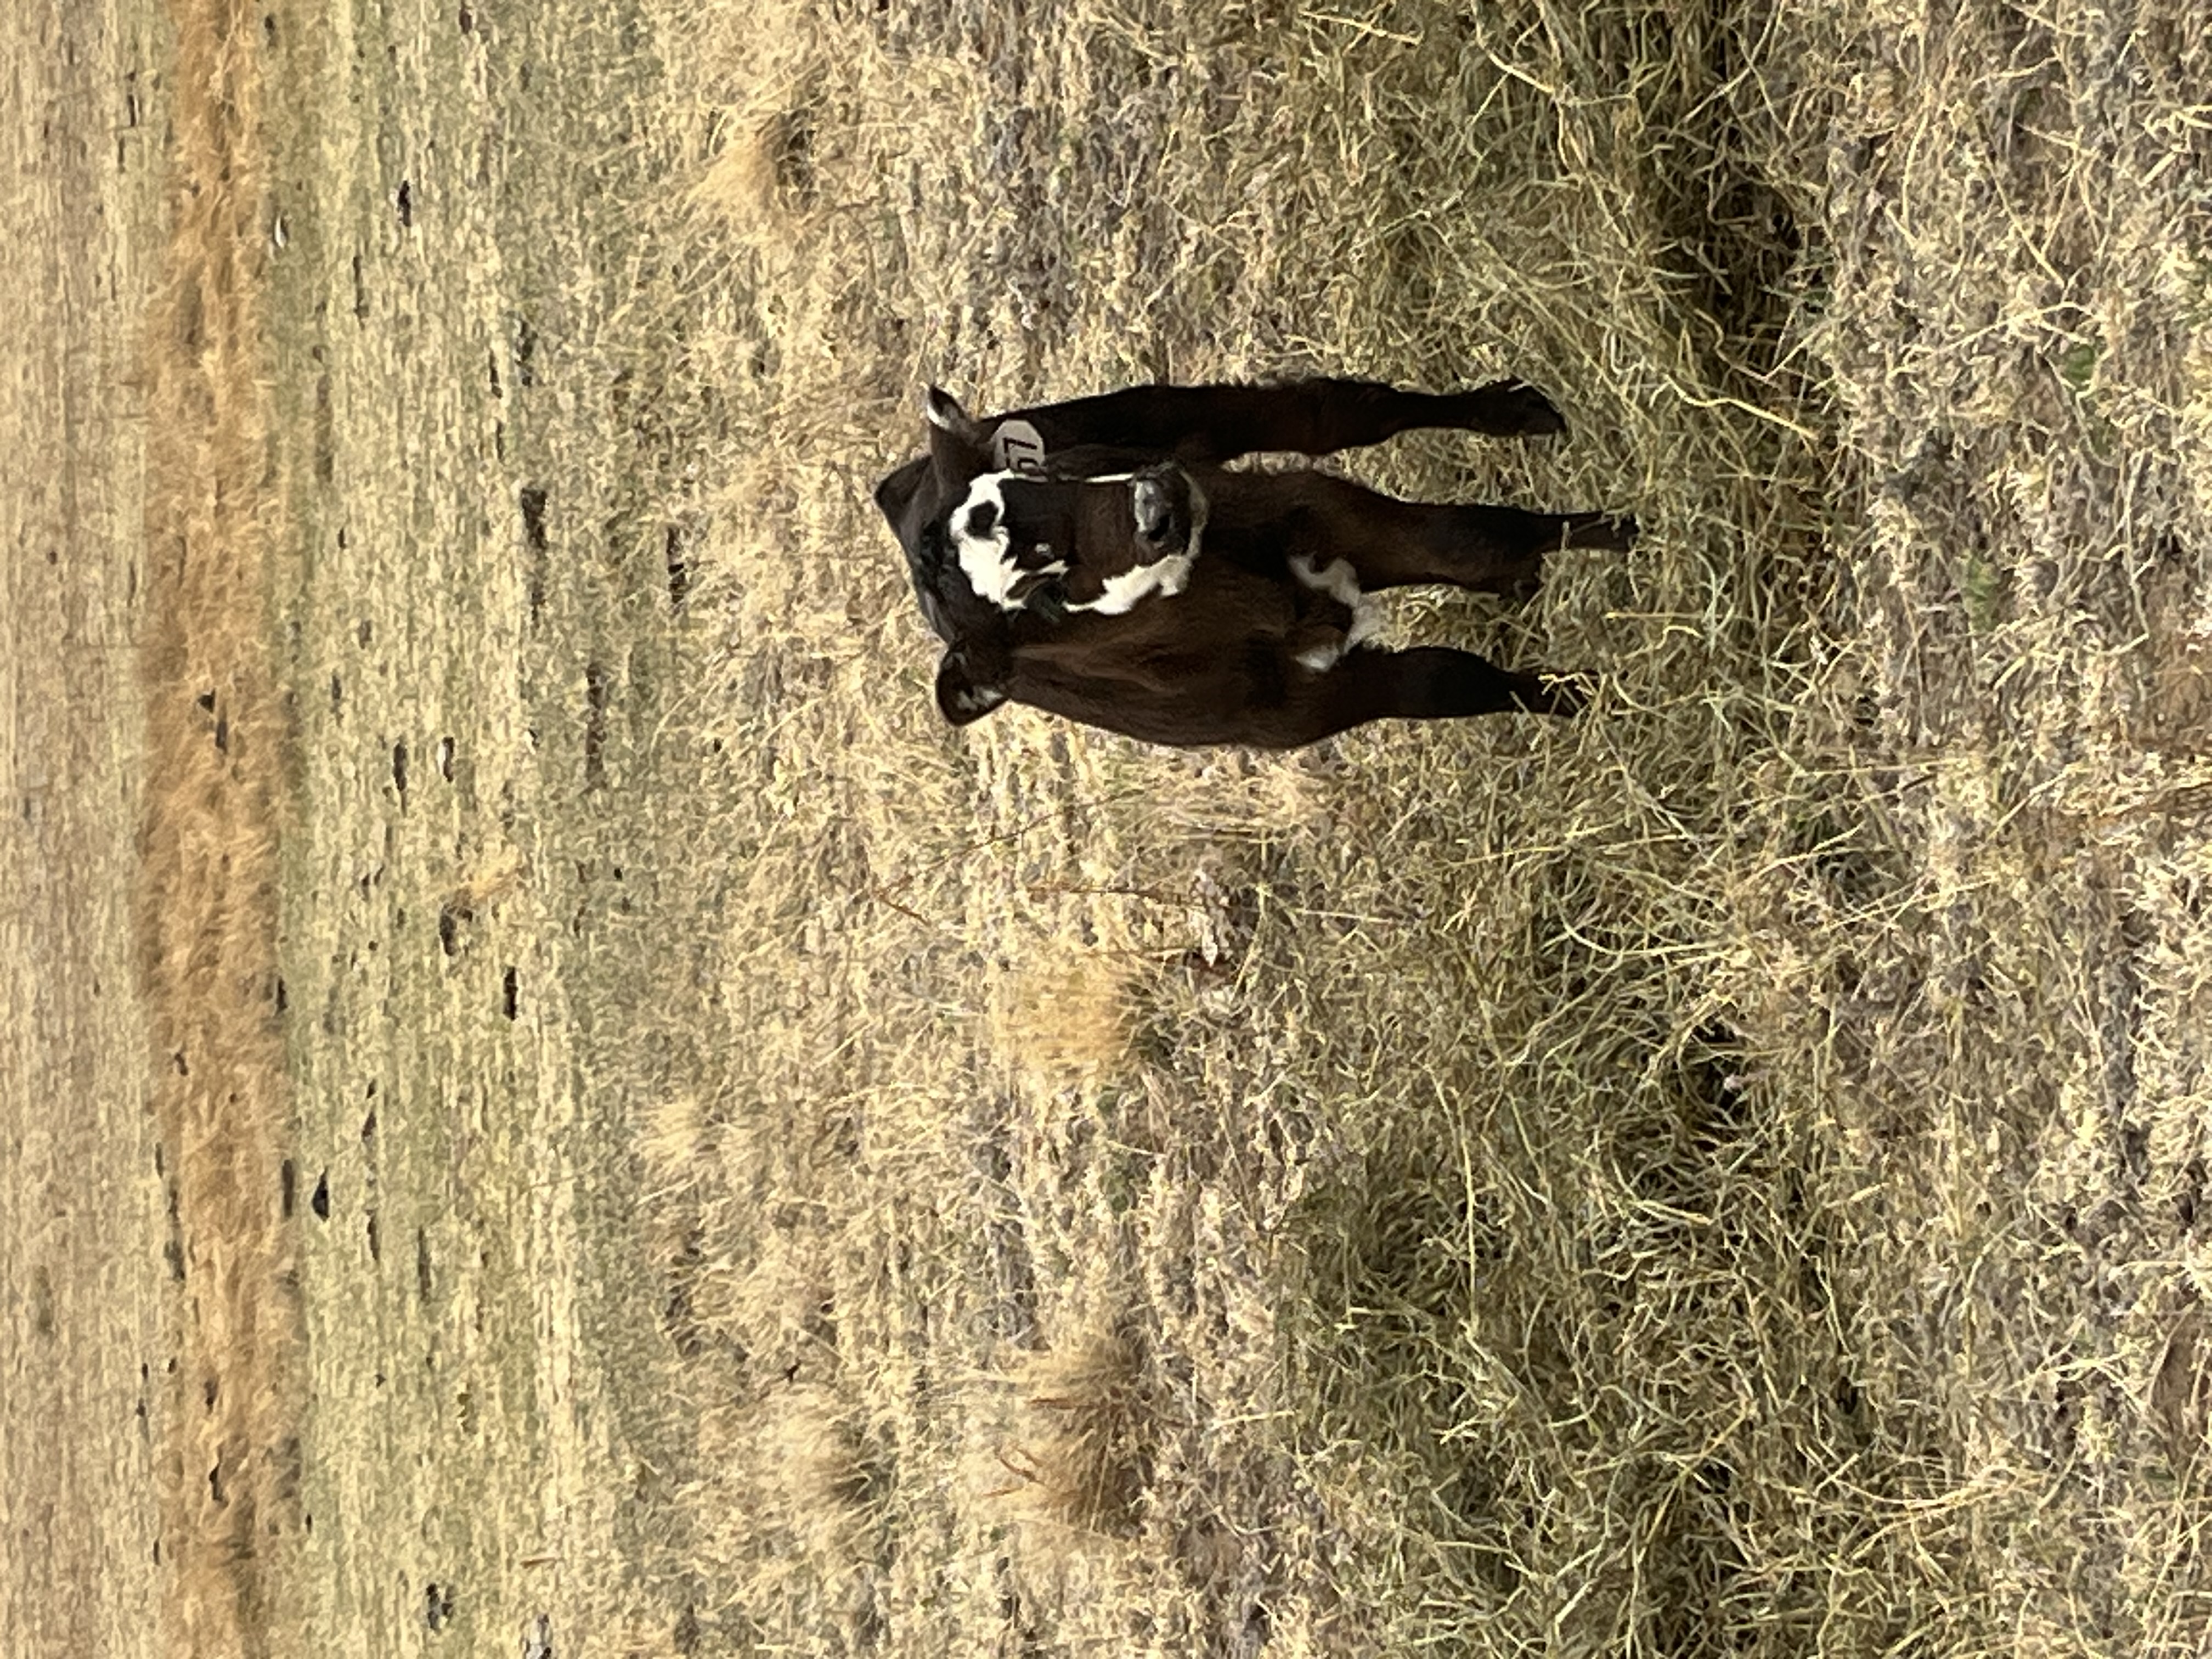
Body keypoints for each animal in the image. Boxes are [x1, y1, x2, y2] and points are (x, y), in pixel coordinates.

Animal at [872, 377, 1636, 749]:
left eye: (1037, 476)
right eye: (1043, 600)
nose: (1158, 508)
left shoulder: (1320, 512)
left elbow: (1472, 539)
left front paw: (1622, 531)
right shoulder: (1315, 706)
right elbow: (1446, 682)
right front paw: (1577, 696)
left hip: (1173, 419)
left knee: (1336, 413)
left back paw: (1515, 412)